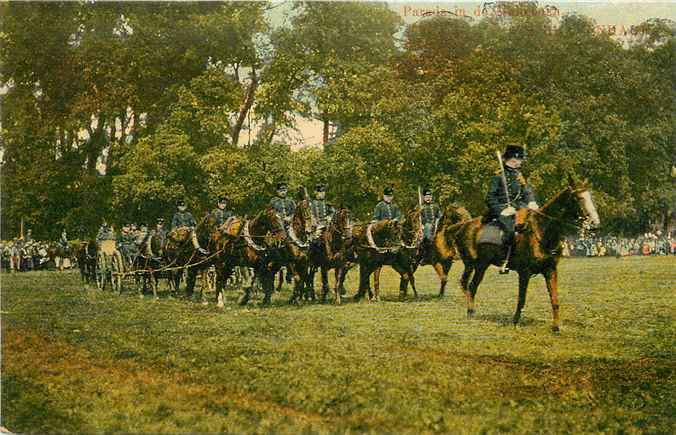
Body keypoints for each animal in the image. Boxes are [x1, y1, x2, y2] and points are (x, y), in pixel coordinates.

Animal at [448, 175, 596, 332]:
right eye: (578, 197)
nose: (594, 223)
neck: (543, 231)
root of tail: (463, 226)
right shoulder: (524, 272)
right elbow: (522, 298)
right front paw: (515, 321)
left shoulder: (550, 270)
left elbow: (554, 298)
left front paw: (556, 326)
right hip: (477, 265)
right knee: (470, 286)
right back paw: (470, 312)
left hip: (477, 265)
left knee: (469, 285)